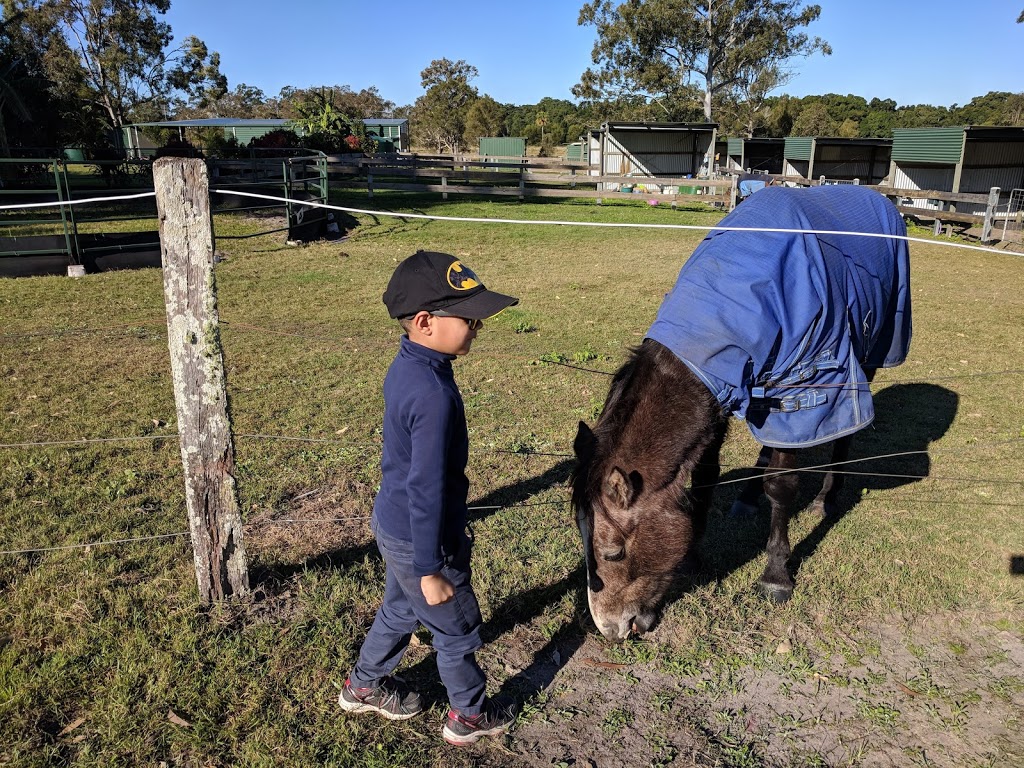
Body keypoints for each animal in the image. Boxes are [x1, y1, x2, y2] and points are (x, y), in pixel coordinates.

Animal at [573, 186, 917, 643]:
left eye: (613, 551)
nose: (610, 629)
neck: (724, 306)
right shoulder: (716, 402)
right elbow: (704, 479)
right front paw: (695, 558)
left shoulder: (798, 391)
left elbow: (783, 485)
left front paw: (776, 575)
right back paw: (749, 497)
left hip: (862, 357)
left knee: (842, 435)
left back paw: (825, 499)